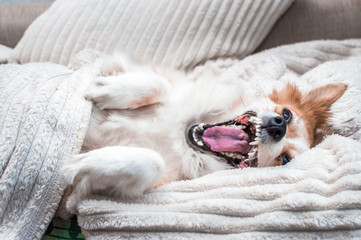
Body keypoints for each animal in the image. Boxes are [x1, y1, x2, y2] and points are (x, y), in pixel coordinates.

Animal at [61, 54, 346, 214]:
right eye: (286, 114)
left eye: (285, 160)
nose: (278, 126)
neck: (181, 137)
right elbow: (159, 84)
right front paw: (106, 89)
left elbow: (153, 161)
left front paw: (85, 162)